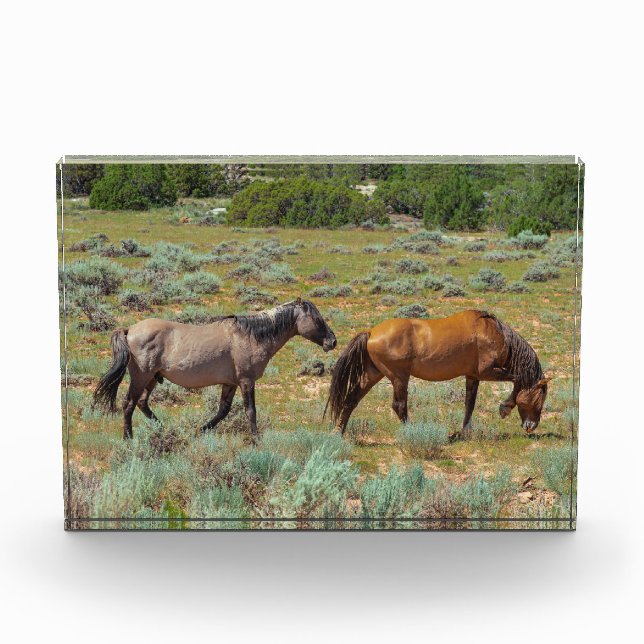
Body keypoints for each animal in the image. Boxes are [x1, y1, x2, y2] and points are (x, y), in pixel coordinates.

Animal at [93, 298, 337, 440]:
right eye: (317, 319)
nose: (332, 342)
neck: (250, 336)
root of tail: (129, 329)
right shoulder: (246, 381)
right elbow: (251, 411)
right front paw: (256, 440)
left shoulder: (230, 384)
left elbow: (222, 412)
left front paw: (199, 431)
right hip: (141, 377)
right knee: (129, 404)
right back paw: (129, 438)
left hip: (153, 377)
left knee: (142, 403)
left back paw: (163, 429)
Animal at [326, 309, 549, 439]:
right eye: (540, 398)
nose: (531, 427)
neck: (496, 334)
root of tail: (371, 332)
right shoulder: (487, 372)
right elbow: (518, 380)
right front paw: (505, 408)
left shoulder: (473, 377)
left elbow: (469, 404)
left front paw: (465, 431)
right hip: (399, 377)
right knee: (399, 406)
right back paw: (413, 431)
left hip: (374, 374)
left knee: (352, 399)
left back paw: (339, 432)